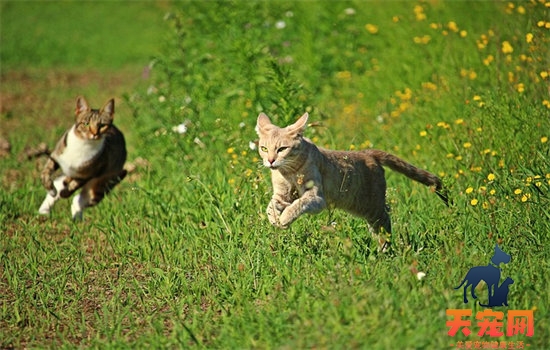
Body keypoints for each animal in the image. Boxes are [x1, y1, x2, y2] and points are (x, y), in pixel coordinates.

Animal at [256, 112, 450, 249]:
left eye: (282, 149)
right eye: (264, 148)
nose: (270, 161)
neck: (288, 172)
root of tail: (368, 153)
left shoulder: (316, 198)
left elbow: (297, 204)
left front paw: (284, 219)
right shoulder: (281, 195)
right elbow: (270, 206)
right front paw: (274, 219)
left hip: (372, 207)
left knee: (385, 222)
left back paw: (385, 251)